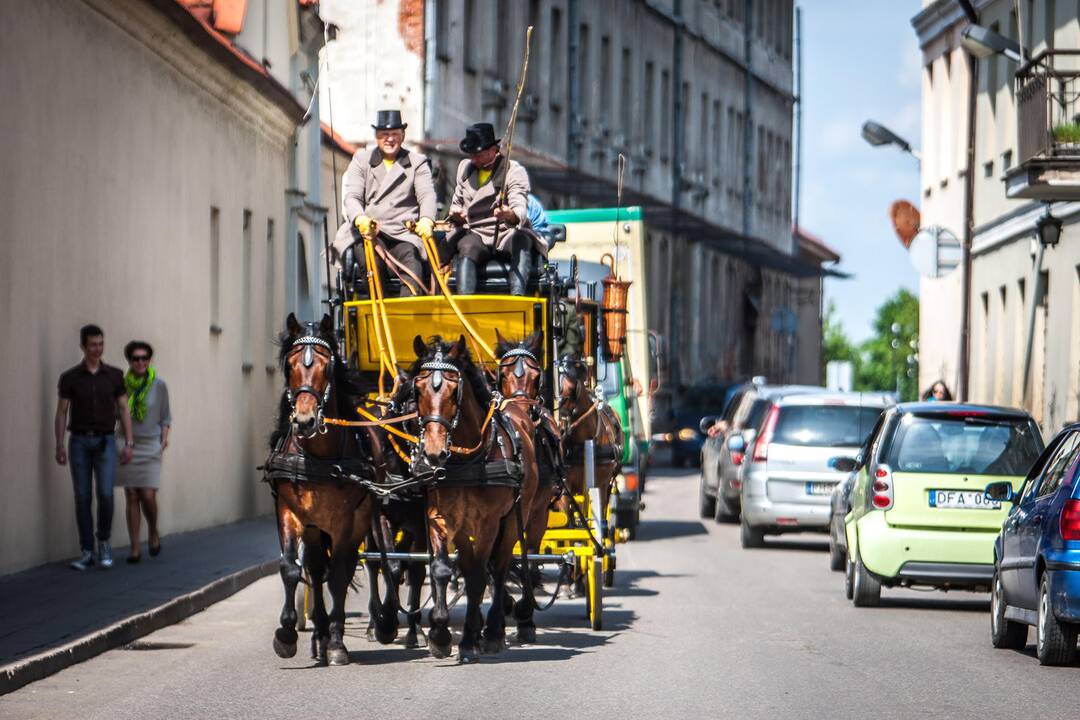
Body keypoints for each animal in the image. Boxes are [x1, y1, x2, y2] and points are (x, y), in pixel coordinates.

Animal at [265, 313, 384, 669]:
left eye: (326, 366)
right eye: (290, 366)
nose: (304, 420)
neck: (317, 455)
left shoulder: (344, 521)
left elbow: (340, 576)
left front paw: (336, 643)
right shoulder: (289, 512)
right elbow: (291, 568)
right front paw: (287, 635)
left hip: (365, 521)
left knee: (360, 564)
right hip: (314, 527)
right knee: (316, 569)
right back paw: (317, 633)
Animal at [406, 334, 537, 660]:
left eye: (455, 391)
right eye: (418, 388)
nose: (433, 453)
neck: (466, 459)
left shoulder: (488, 521)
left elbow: (479, 575)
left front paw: (467, 641)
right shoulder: (439, 517)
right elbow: (442, 569)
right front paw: (440, 634)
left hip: (515, 518)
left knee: (498, 567)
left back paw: (491, 632)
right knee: (470, 565)